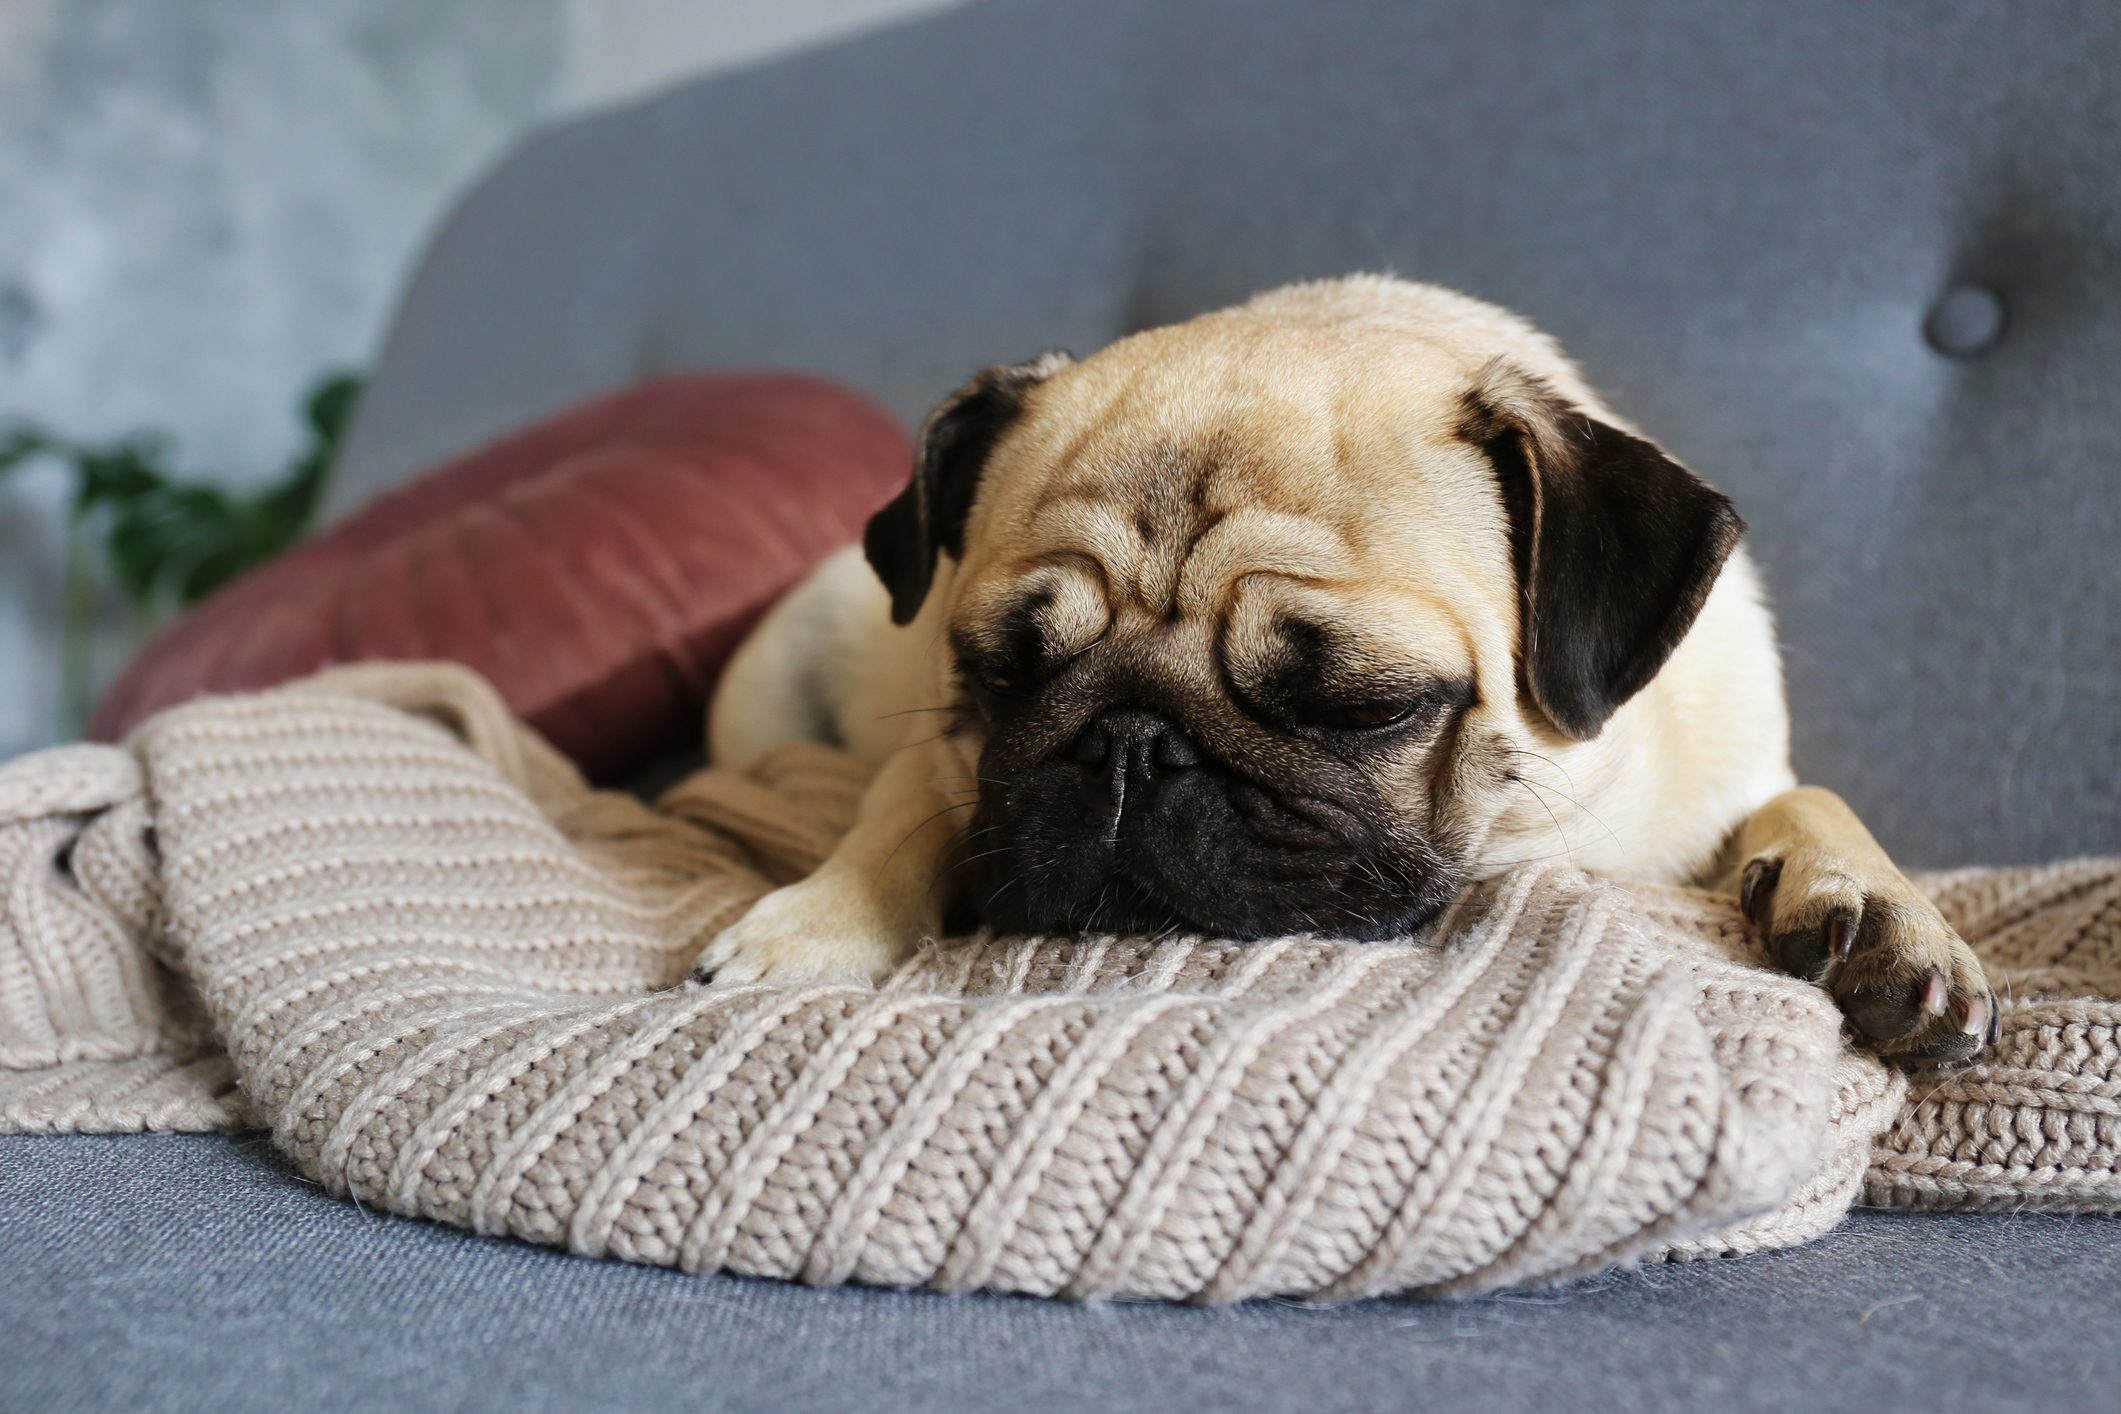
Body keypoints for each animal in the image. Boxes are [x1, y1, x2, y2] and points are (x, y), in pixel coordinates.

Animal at [699, 275, 2002, 1055]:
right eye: (1002, 672)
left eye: (1363, 706)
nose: (1129, 744)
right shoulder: (942, 762)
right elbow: (897, 812)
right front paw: (812, 924)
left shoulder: (1728, 783)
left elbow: (1809, 801)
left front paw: (1882, 914)